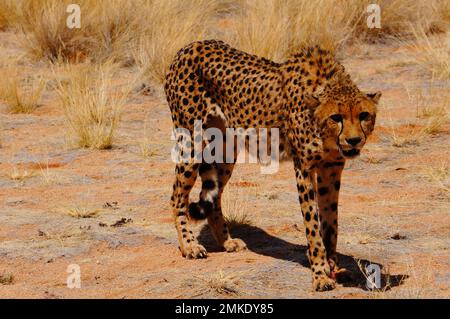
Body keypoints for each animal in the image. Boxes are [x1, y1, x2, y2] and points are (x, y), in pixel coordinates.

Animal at [163, 40, 380, 292]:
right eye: (336, 117)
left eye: (364, 115)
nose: (354, 140)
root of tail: (191, 45)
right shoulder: (304, 169)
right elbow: (313, 226)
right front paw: (320, 275)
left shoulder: (331, 170)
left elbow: (330, 223)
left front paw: (333, 267)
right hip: (192, 142)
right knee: (177, 196)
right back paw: (189, 246)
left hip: (227, 149)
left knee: (212, 196)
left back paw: (226, 241)